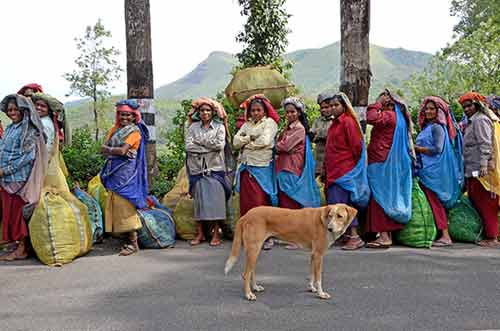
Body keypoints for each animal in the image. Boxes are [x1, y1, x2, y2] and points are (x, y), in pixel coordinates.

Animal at [225, 204, 358, 302]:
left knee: (252, 271)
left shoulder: (313, 255)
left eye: (339, 216)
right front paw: (321, 294)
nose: (330, 228)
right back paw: (248, 294)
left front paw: (311, 288)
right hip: (253, 249)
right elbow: (319, 278)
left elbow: (312, 275)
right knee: (246, 274)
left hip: (255, 250)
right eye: (330, 216)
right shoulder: (318, 255)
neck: (323, 220)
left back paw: (255, 288)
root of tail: (246, 215)